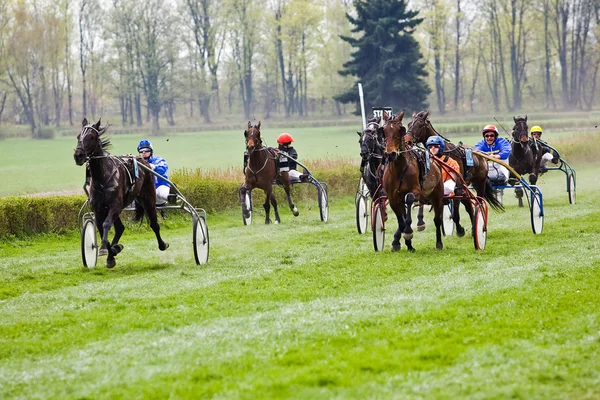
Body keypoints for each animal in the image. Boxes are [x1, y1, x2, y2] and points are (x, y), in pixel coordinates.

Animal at [74, 119, 170, 268]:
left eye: (92, 137)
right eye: (79, 136)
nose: (78, 156)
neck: (103, 177)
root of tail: (143, 162)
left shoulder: (115, 205)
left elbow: (106, 225)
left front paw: (105, 249)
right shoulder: (99, 208)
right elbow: (101, 227)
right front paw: (111, 251)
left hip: (148, 199)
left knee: (154, 224)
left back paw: (162, 244)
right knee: (120, 228)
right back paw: (114, 251)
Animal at [380, 109, 446, 252]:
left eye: (400, 130)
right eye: (384, 130)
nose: (390, 154)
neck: (399, 169)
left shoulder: (416, 192)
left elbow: (409, 199)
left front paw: (408, 232)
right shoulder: (393, 198)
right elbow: (401, 221)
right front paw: (403, 243)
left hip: (437, 195)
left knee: (437, 219)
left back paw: (439, 243)